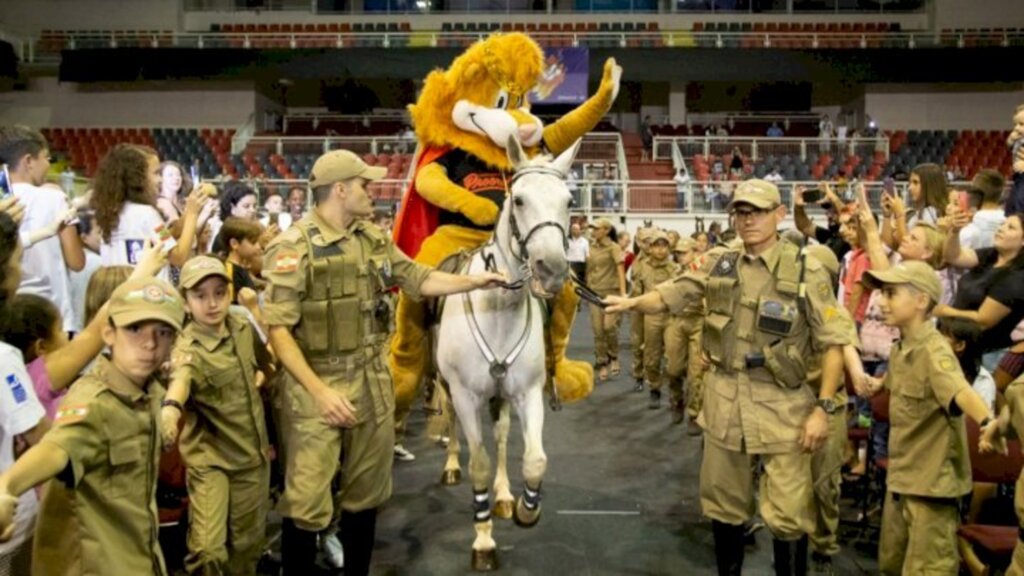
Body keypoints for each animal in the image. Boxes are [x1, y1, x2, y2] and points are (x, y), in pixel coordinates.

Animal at [432, 135, 581, 569]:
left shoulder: (527, 393)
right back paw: (452, 465)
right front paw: (483, 542)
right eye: (519, 200)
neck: (498, 307)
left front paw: (525, 509)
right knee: (451, 424)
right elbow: (478, 463)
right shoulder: (466, 395)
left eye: (569, 200)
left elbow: (534, 459)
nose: (552, 269)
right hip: (445, 384)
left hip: (500, 396)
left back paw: (501, 497)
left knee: (499, 436)